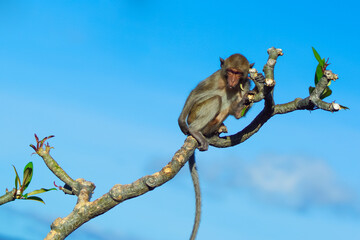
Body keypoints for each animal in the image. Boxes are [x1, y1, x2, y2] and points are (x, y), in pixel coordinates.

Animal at [178, 53, 252, 240]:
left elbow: (240, 107)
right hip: (195, 114)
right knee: (216, 98)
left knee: (229, 107)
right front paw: (180, 122)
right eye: (230, 71)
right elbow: (195, 92)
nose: (233, 81)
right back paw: (195, 131)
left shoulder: (246, 84)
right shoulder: (215, 77)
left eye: (238, 73)